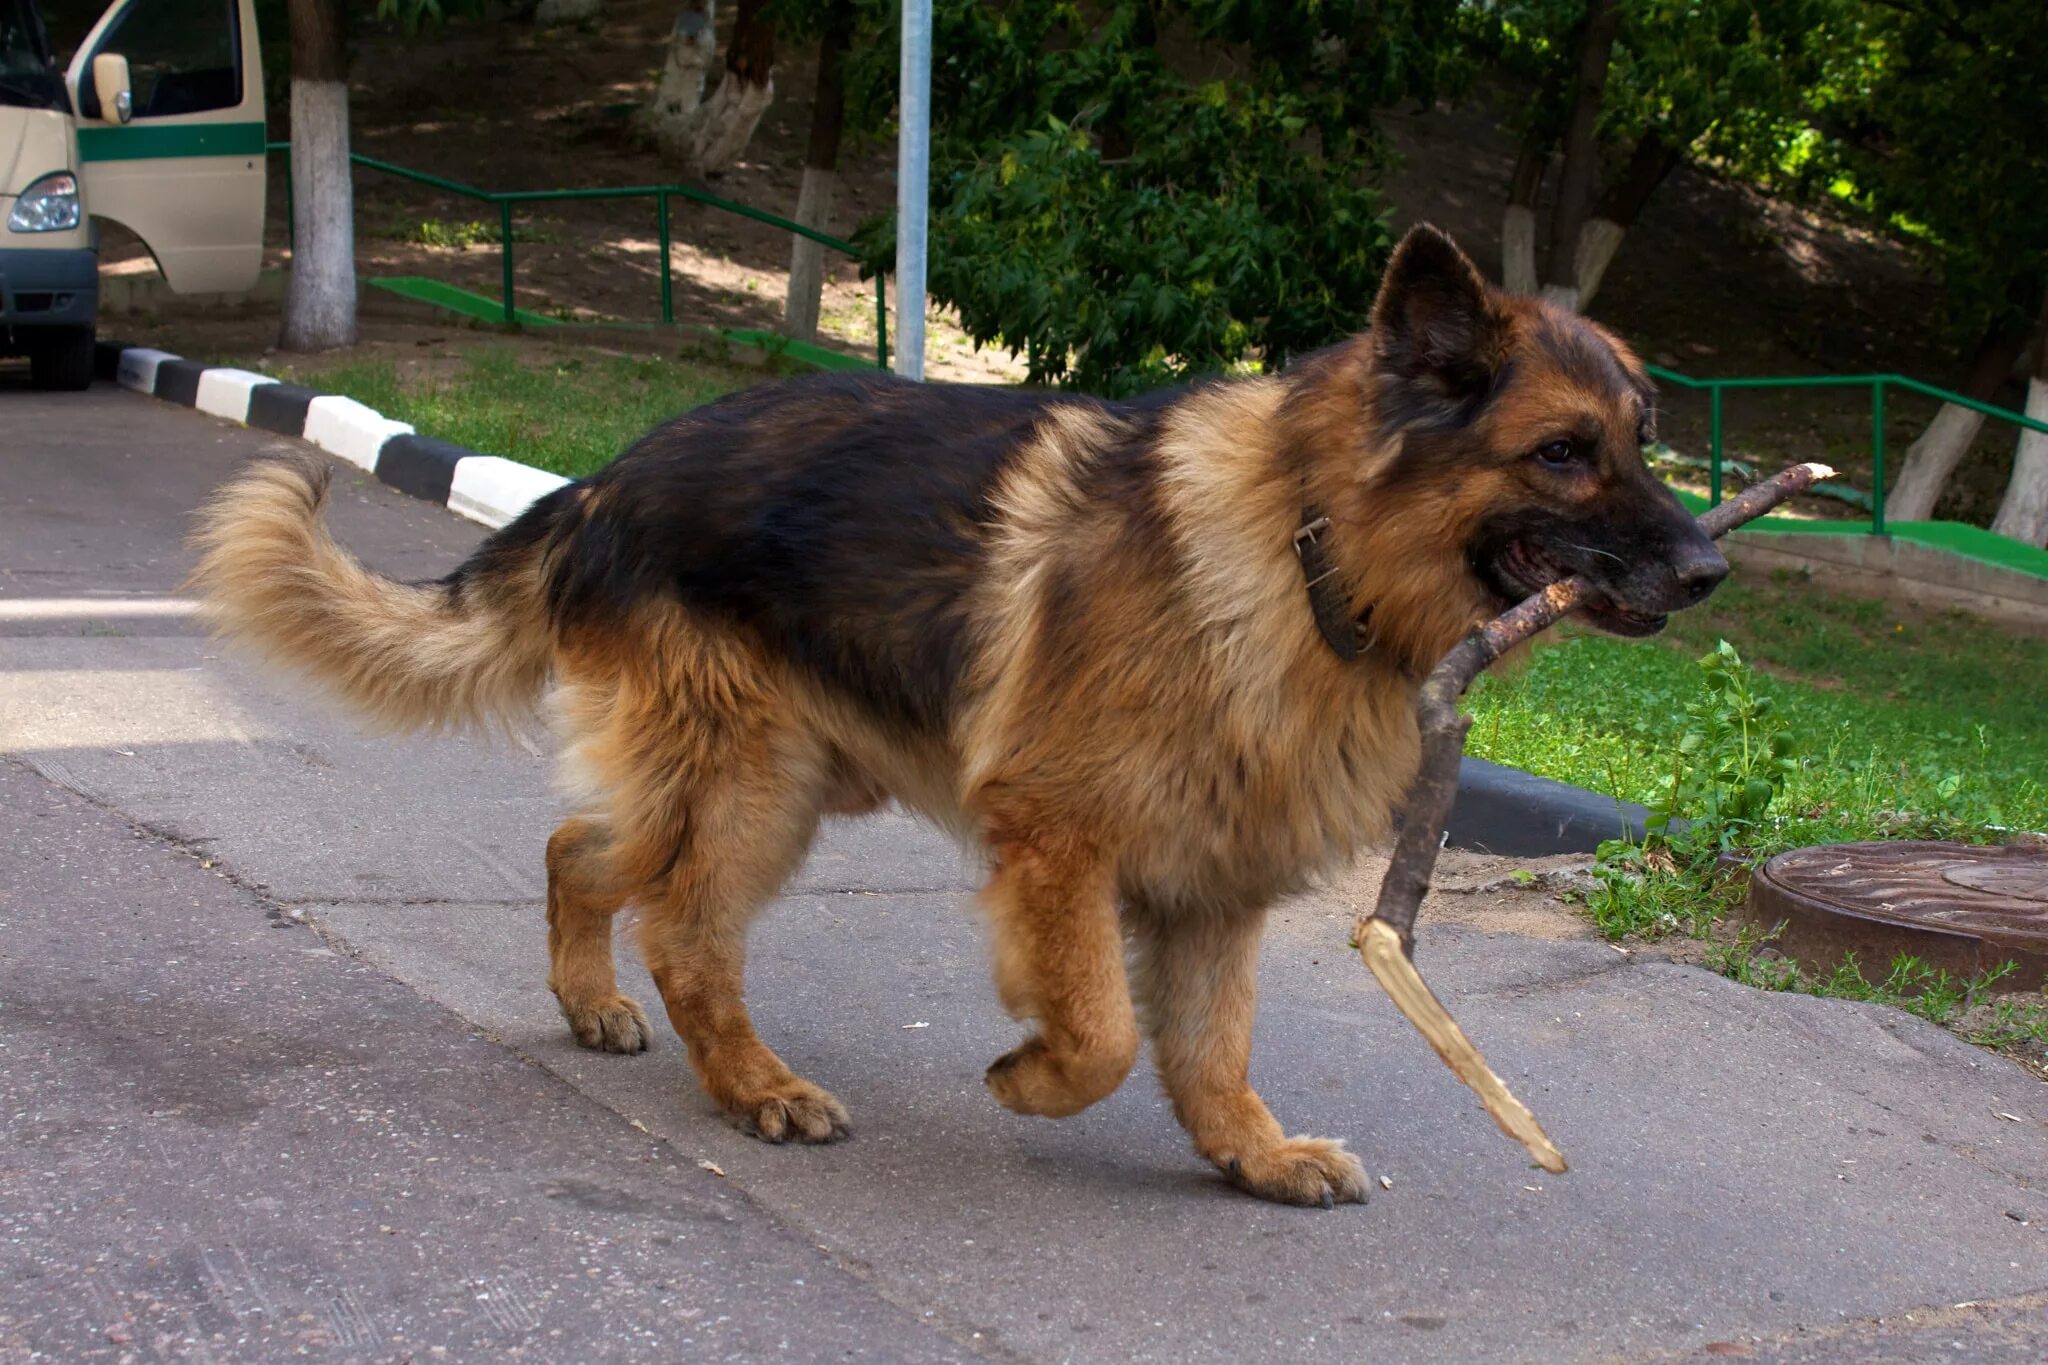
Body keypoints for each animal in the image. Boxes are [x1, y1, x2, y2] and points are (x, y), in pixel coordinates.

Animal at [195, 229, 1728, 1211]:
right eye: (1563, 453)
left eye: (1645, 442)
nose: (1712, 571)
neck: (1306, 549)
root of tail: (607, 480)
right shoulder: (1059, 837)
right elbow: (1105, 1032)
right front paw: (1031, 1079)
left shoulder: (1215, 882)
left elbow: (1210, 1042)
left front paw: (1247, 1151)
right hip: (756, 785)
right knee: (682, 926)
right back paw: (751, 1084)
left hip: (784, 778)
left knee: (584, 849)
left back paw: (593, 1007)